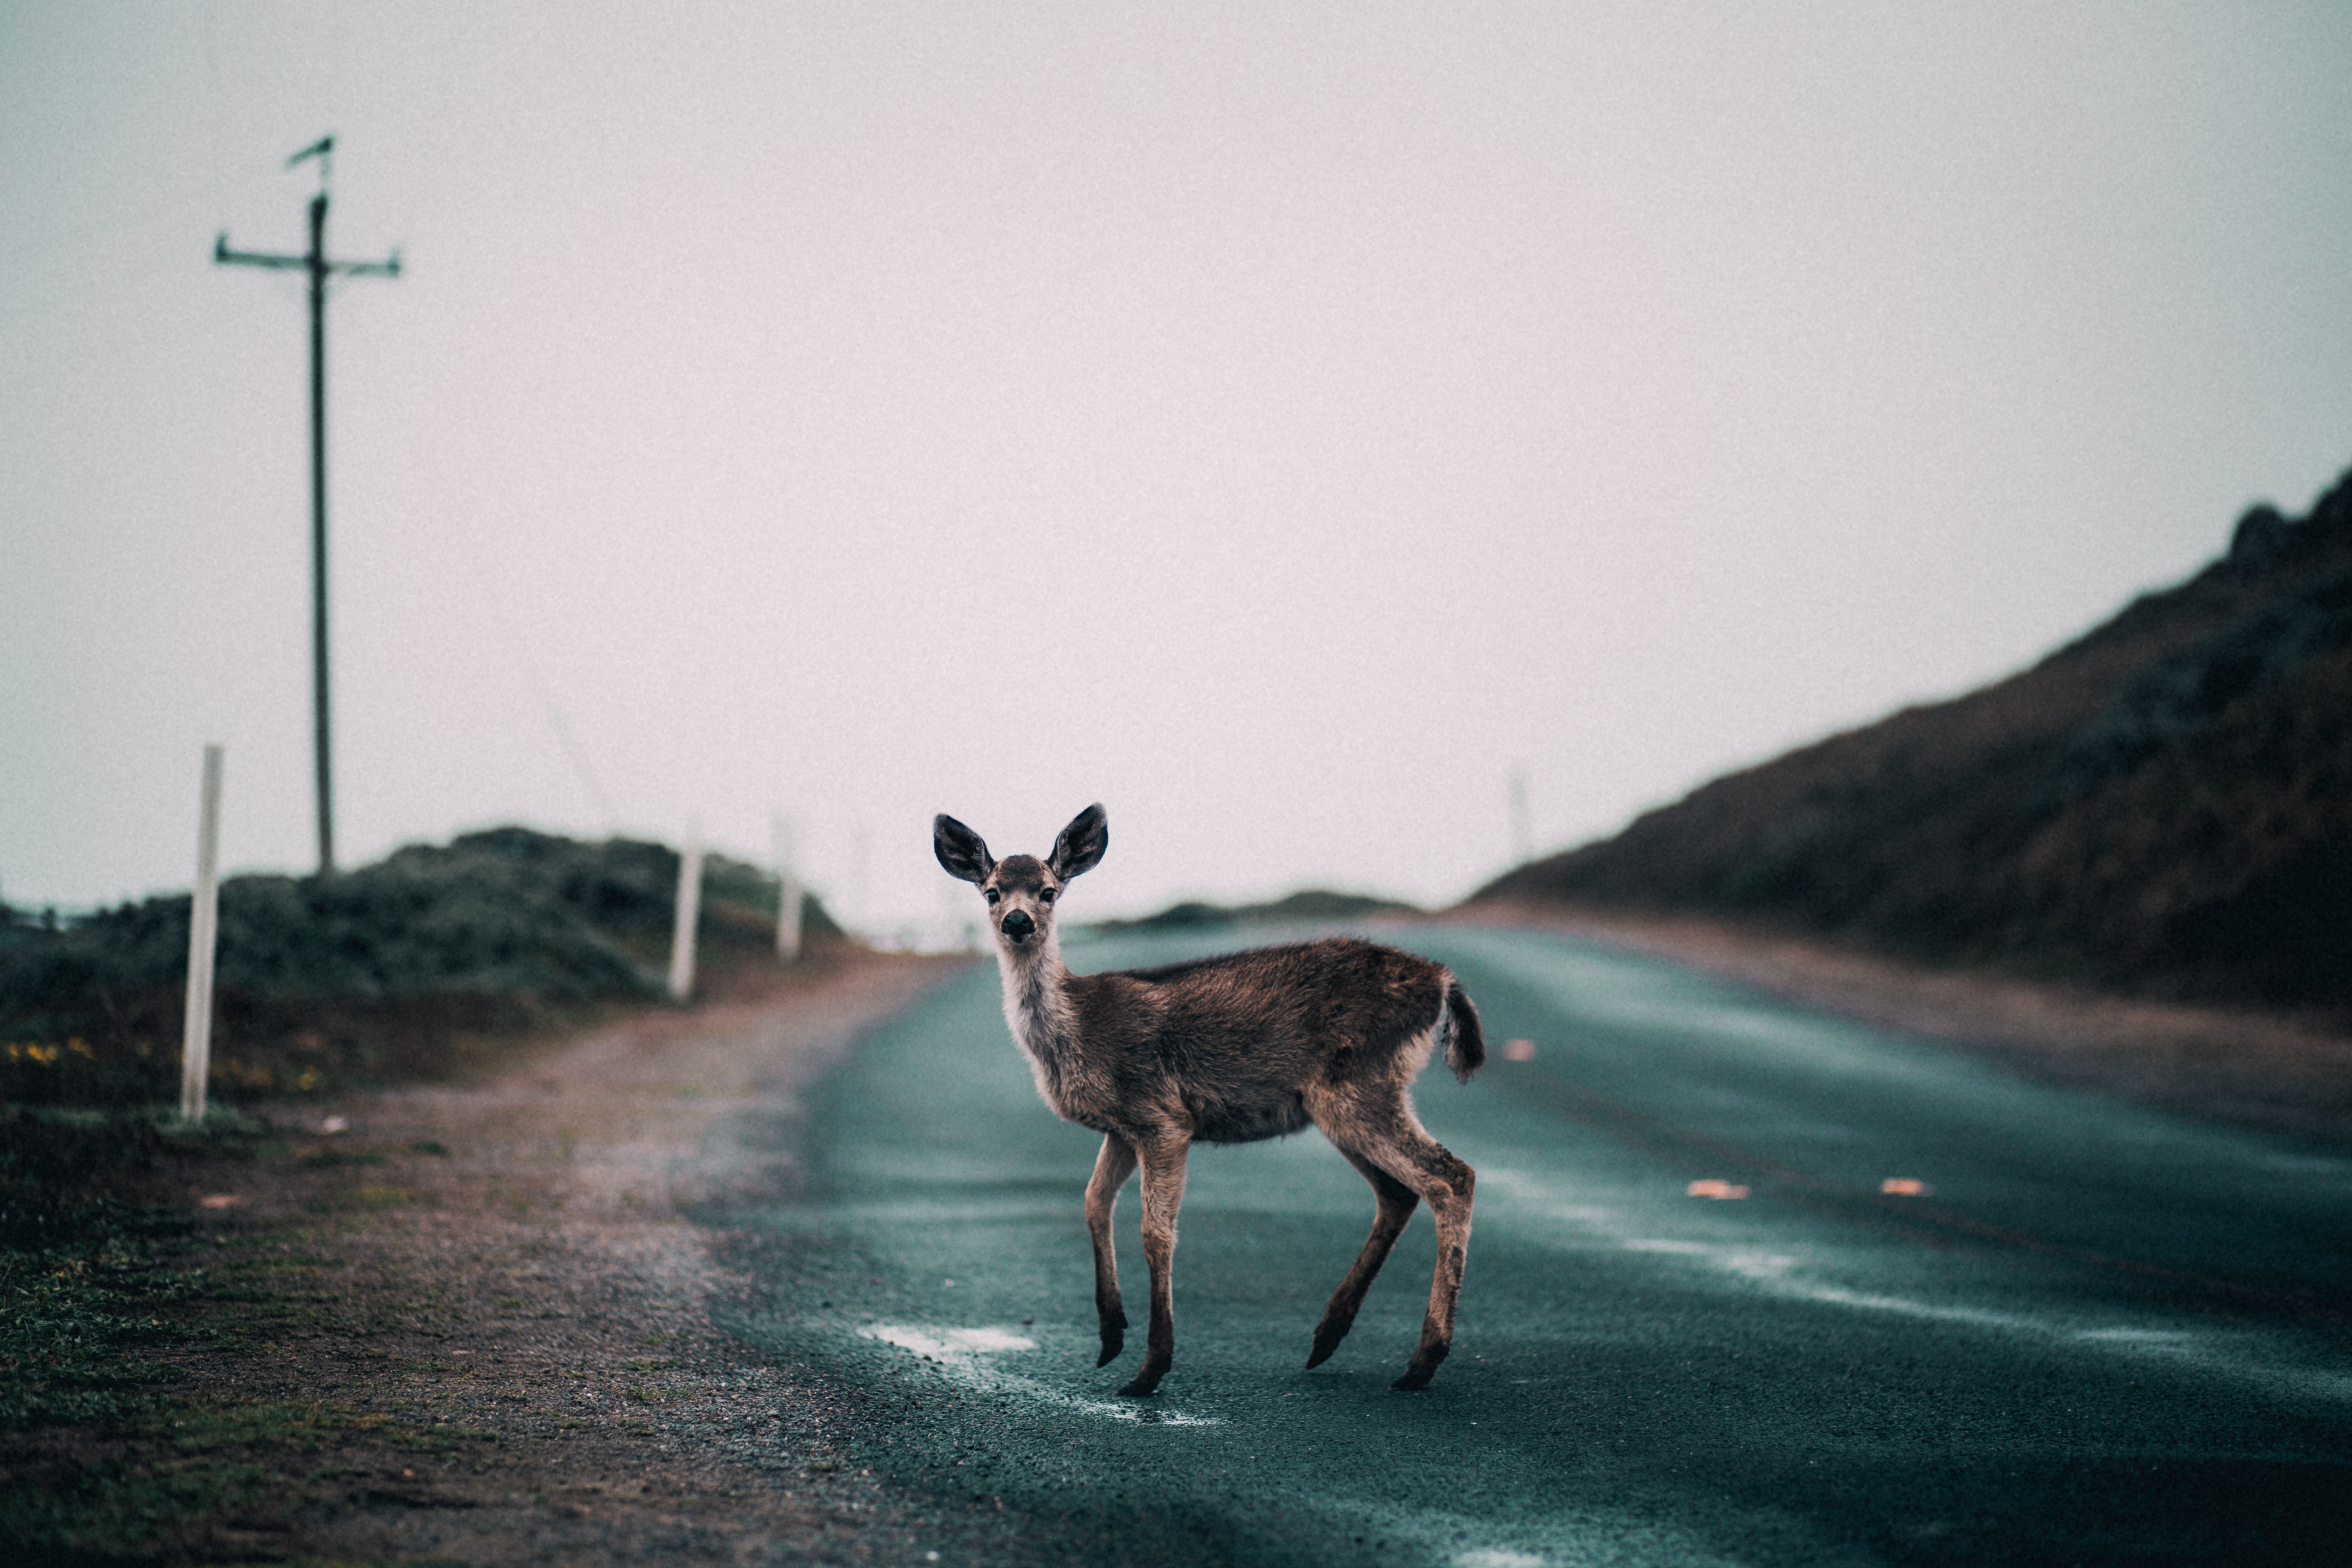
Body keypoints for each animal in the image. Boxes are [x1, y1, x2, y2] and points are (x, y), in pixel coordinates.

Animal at [926, 804, 1477, 1391]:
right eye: (991, 891)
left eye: (1049, 891)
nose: (1018, 922)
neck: (1076, 1031)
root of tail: (1442, 980)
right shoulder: (1122, 1128)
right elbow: (1094, 1203)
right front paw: (1110, 1337)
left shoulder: (1163, 1117)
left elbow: (1156, 1231)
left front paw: (1151, 1368)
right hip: (1347, 1101)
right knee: (1399, 1192)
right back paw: (1327, 1340)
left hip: (1359, 1087)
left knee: (1451, 1177)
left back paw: (1421, 1361)